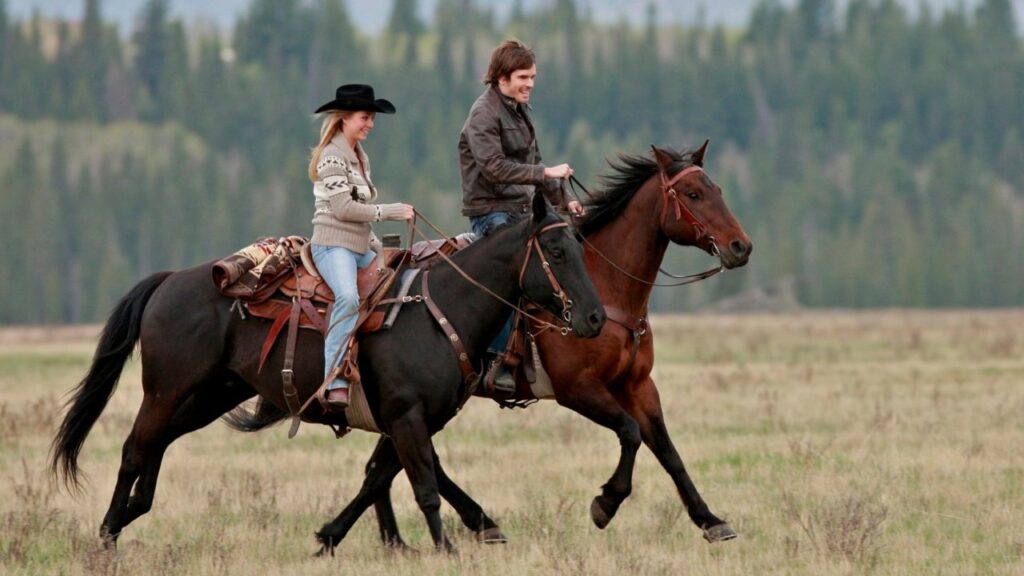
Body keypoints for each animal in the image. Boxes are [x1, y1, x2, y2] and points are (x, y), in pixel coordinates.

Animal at [49, 190, 606, 549]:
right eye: (557, 251)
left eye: (581, 247)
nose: (596, 318)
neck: (440, 309)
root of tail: (170, 280)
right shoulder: (406, 417)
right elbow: (423, 485)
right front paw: (446, 547)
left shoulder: (414, 420)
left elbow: (384, 477)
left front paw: (331, 536)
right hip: (166, 391)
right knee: (134, 449)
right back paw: (107, 537)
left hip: (209, 396)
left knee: (156, 447)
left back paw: (130, 514)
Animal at [364, 139, 749, 541]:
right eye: (693, 194)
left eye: (717, 190)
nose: (741, 246)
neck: (607, 291)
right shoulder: (577, 388)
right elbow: (630, 432)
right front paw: (605, 503)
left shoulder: (638, 385)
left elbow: (667, 450)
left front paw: (711, 519)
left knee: (385, 463)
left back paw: (401, 539)